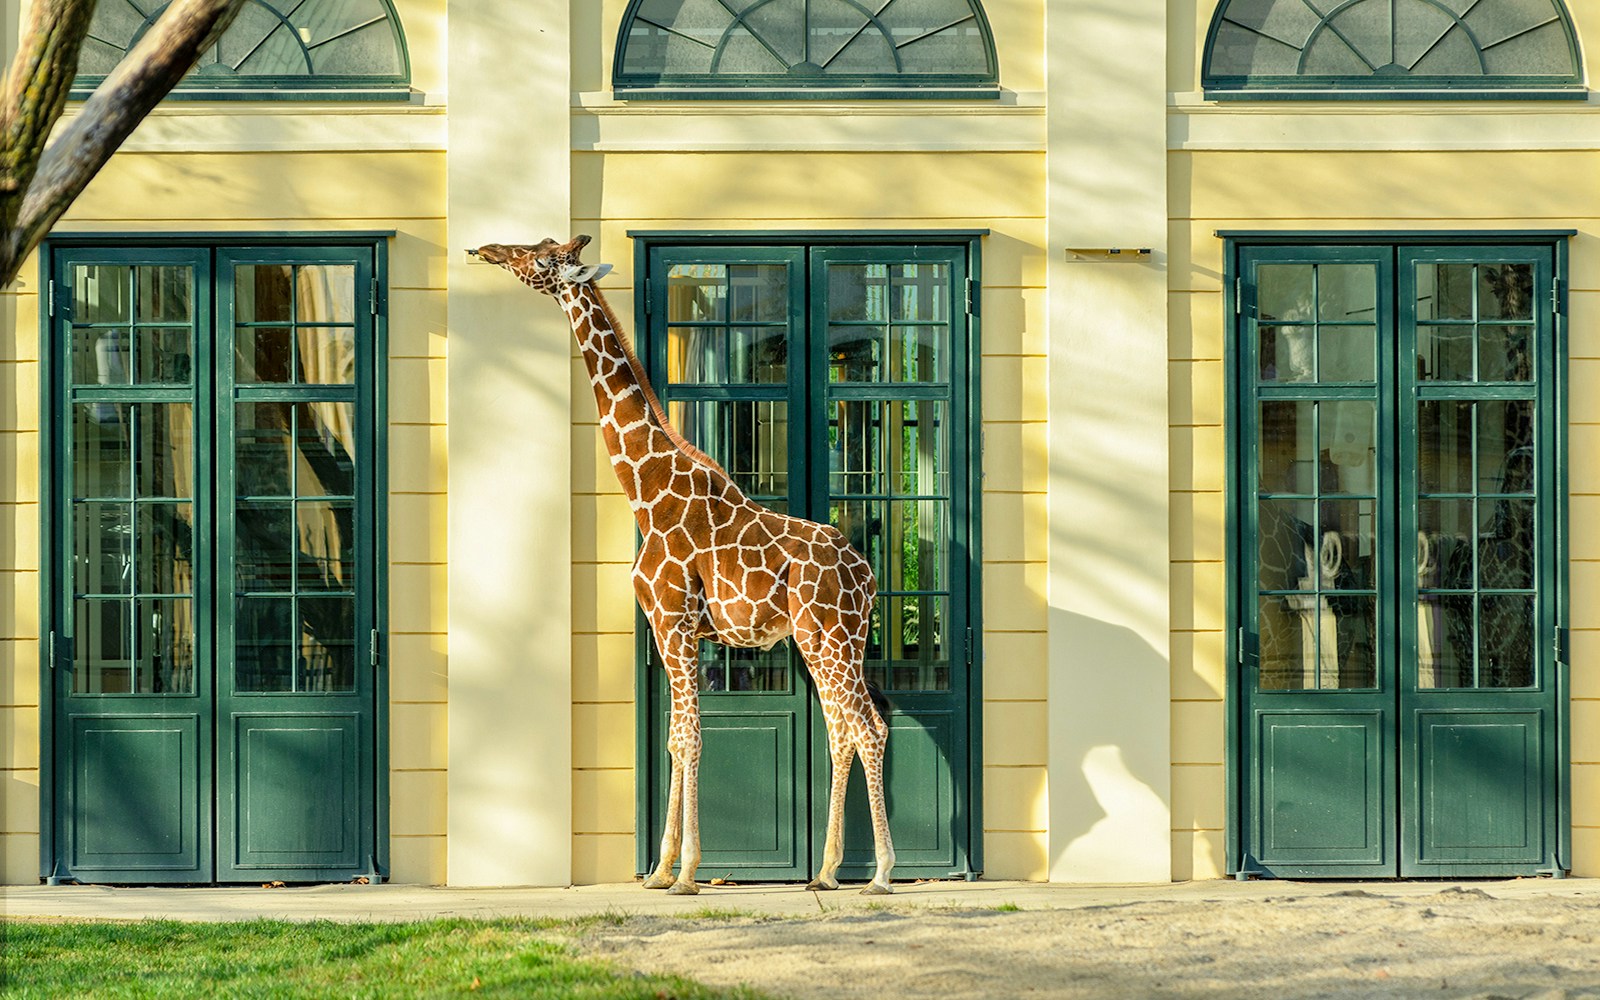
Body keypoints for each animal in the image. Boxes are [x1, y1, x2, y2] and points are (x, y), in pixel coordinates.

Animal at [471, 235, 896, 895]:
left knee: (868, 729)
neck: (644, 489)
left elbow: (691, 738)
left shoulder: (675, 621)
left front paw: (688, 871)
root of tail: (868, 575)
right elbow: (673, 739)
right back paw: (826, 872)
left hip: (829, 636)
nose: (487, 250)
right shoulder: (665, 626)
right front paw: (658, 870)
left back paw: (878, 875)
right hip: (826, 641)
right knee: (843, 731)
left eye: (539, 258)